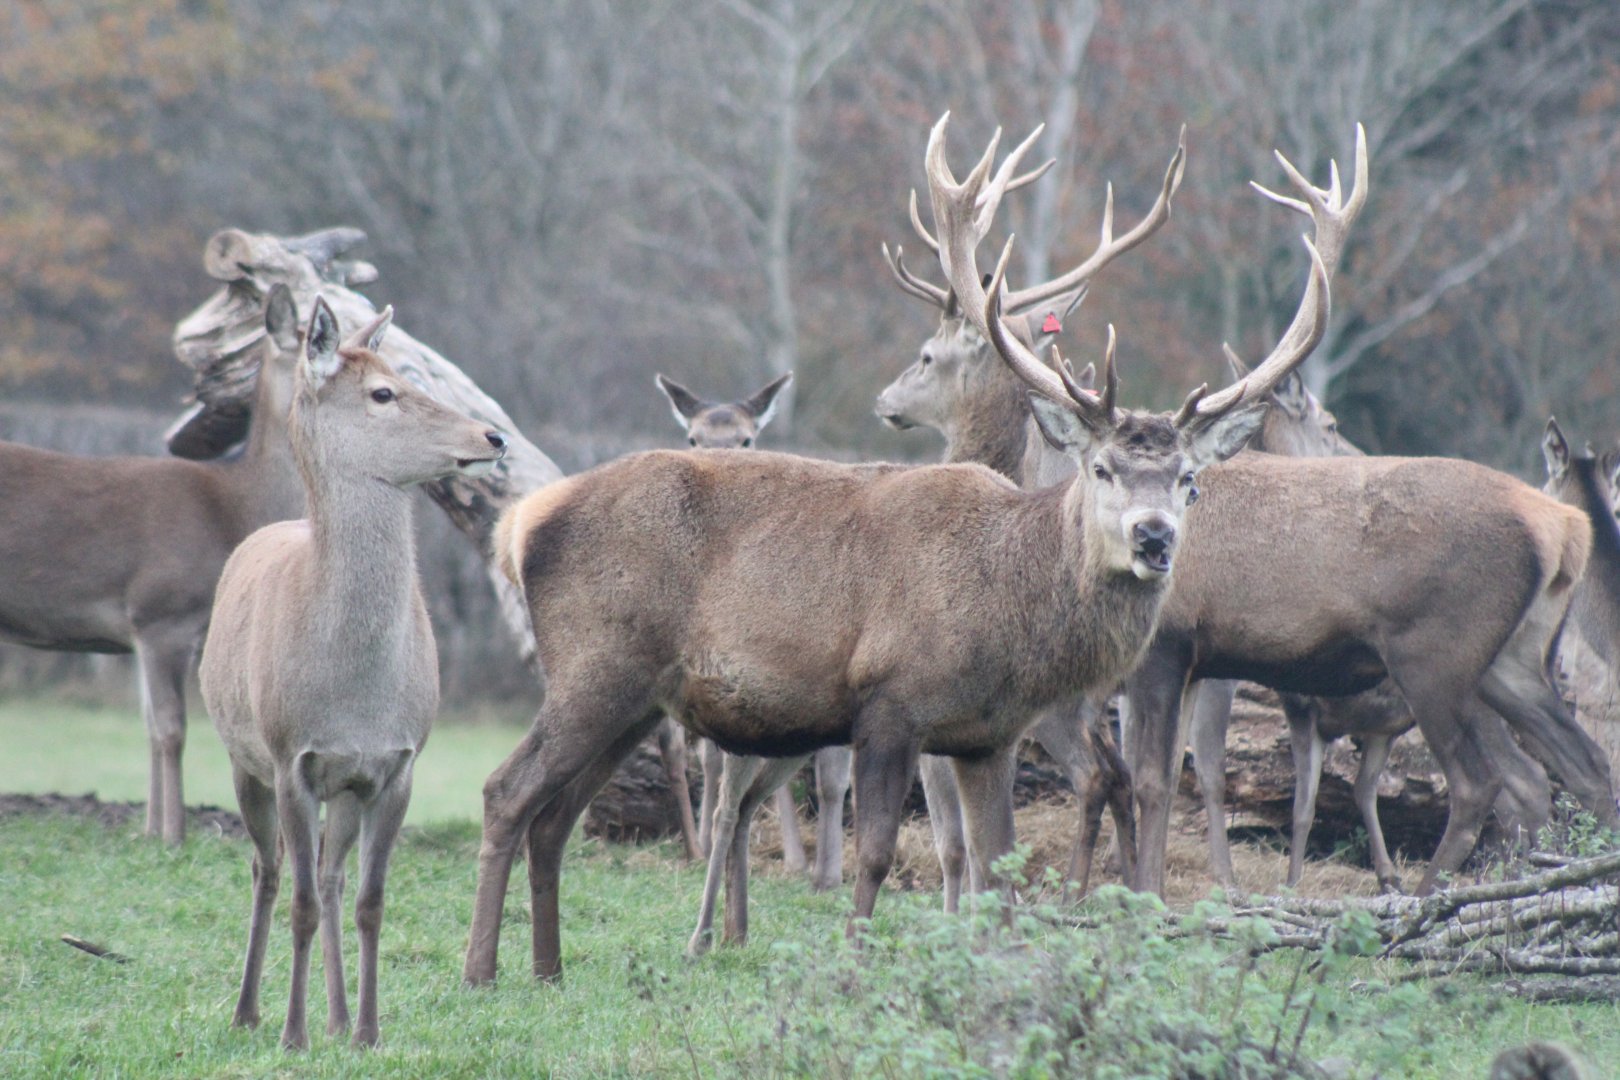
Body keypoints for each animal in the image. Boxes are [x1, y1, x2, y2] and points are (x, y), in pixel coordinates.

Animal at [0, 285, 309, 845]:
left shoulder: (145, 632)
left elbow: (146, 725)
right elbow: (171, 728)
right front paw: (173, 833)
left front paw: (147, 829)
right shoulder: (161, 613)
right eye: (318, 343)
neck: (233, 512)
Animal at [199, 298, 508, 1049]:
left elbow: (370, 899)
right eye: (383, 393)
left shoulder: (396, 763)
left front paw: (367, 1030)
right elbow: (302, 902)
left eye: (407, 373)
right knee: (269, 869)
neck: (355, 696)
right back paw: (248, 1012)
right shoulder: (292, 757)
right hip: (242, 757)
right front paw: (293, 1034)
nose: (491, 435)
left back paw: (337, 1016)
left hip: (344, 788)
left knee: (333, 873)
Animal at [462, 111, 1332, 986]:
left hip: (636, 695)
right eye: (1102, 467)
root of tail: (523, 522)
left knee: (554, 816)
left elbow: (997, 867)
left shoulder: (987, 734)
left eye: (1190, 479)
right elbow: (879, 853)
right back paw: (481, 970)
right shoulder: (890, 700)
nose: (1153, 537)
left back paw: (548, 969)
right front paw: (853, 964)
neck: (1007, 600)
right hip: (594, 664)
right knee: (505, 791)